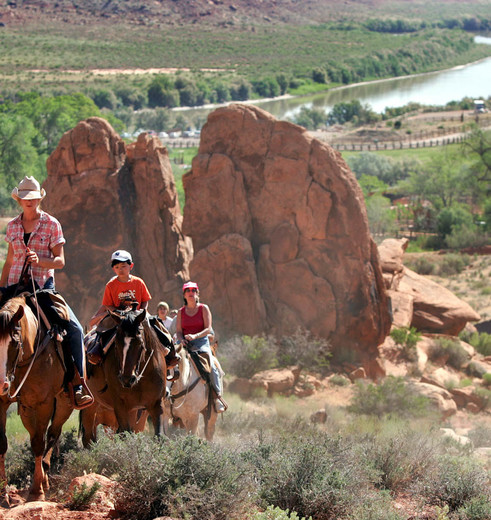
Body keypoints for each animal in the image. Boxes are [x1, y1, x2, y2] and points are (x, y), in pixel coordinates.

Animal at [0, 296, 73, 504]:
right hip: (26, 409)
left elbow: (39, 443)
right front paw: (3, 494)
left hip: (64, 404)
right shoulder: (3, 403)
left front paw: (36, 492)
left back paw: (44, 479)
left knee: (52, 434)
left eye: (14, 342)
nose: (1, 383)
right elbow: (3, 443)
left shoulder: (43, 403)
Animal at [87, 308, 172, 438]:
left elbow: (159, 434)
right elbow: (126, 433)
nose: (127, 379)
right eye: (116, 344)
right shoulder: (120, 406)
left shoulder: (157, 404)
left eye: (140, 343)